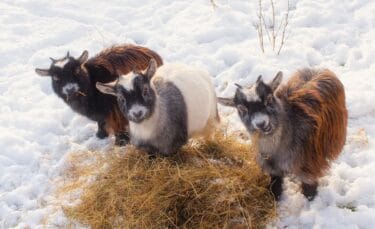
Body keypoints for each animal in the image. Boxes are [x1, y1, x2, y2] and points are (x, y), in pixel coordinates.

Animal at [35, 44, 163, 145]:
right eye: (55, 77)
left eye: (77, 70)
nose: (70, 89)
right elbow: (101, 122)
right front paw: (101, 135)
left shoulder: (115, 107)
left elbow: (118, 123)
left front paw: (121, 141)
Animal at [219, 68, 348, 200]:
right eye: (242, 109)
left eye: (269, 99)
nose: (261, 123)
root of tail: (319, 70)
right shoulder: (273, 170)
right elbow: (275, 187)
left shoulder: (308, 167)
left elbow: (309, 189)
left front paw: (310, 200)